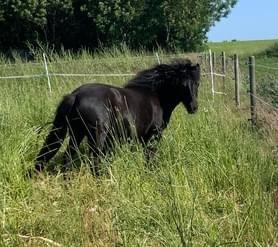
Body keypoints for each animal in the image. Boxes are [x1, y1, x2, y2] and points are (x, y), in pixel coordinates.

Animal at [33, 59, 201, 176]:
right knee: (94, 160)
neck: (156, 96)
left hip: (77, 133)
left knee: (67, 157)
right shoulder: (153, 136)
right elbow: (150, 158)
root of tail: (76, 95)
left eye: (197, 83)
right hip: (96, 135)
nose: (193, 107)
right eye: (182, 84)